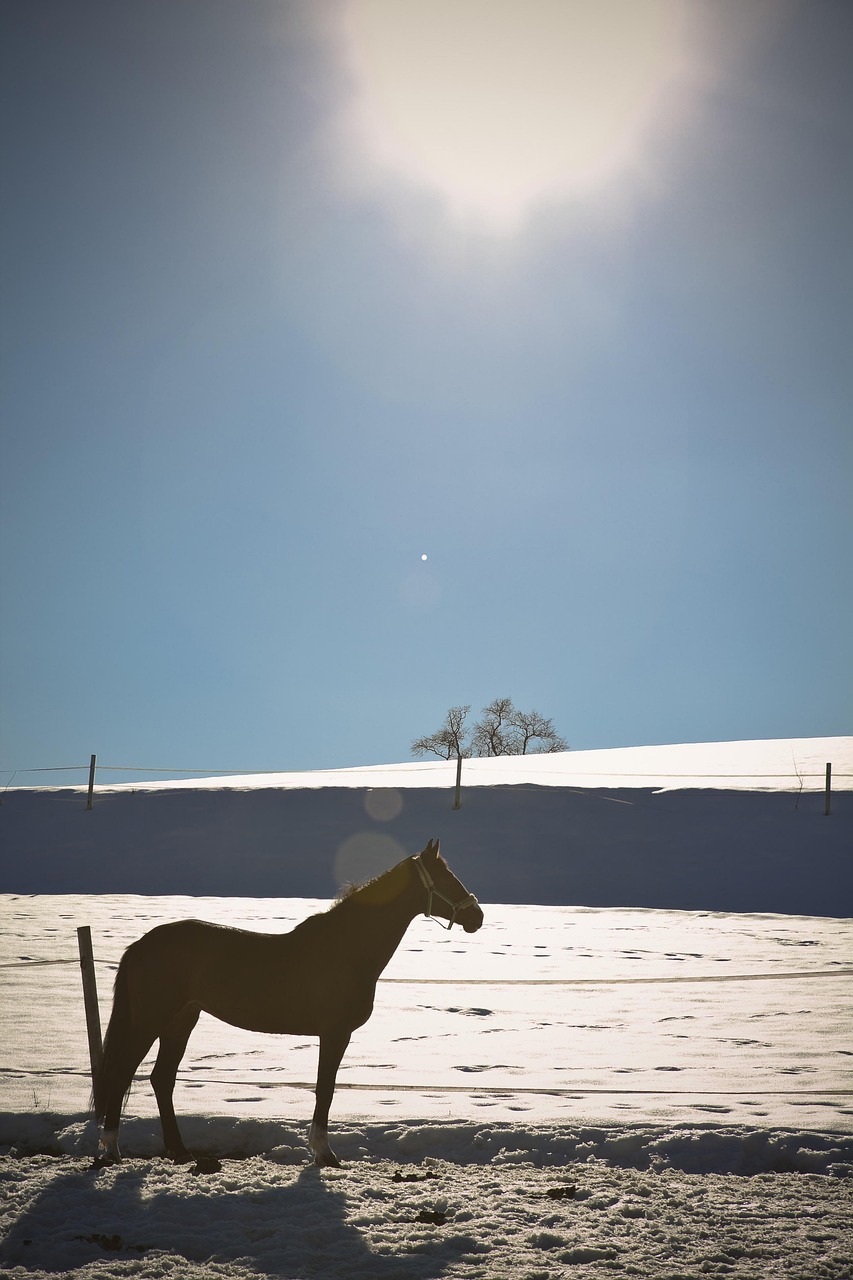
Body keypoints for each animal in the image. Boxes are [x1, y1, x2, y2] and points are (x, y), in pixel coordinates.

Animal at [92, 839, 481, 1172]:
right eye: (445, 877)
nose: (476, 916)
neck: (346, 948)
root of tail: (141, 945)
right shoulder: (335, 1034)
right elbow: (325, 1089)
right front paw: (325, 1154)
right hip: (151, 1021)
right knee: (123, 1073)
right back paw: (112, 1150)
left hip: (181, 1021)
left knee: (162, 1079)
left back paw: (179, 1151)